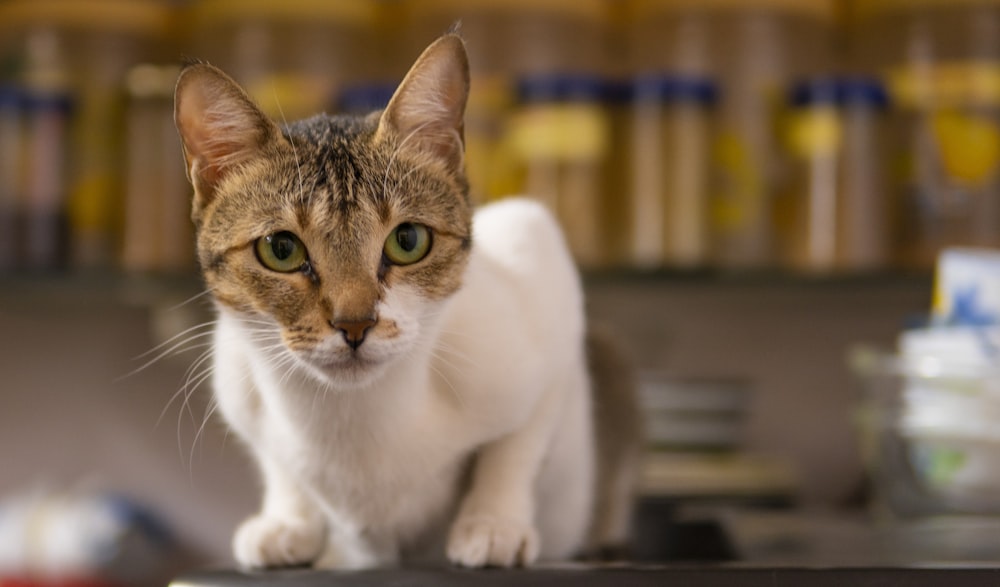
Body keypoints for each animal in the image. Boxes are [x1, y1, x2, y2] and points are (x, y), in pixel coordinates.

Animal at [174, 31, 640, 568]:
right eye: (281, 249)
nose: (354, 324)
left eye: (408, 240)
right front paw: (288, 521)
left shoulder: (539, 261)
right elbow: (280, 466)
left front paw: (493, 524)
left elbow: (514, 449)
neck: (354, 421)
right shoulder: (235, 379)